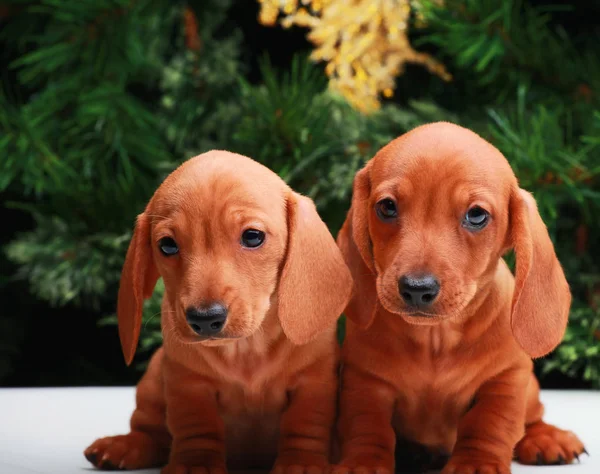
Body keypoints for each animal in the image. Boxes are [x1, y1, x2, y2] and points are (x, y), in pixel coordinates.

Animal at [84, 151, 352, 474]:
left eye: (253, 236)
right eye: (167, 245)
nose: (205, 318)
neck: (246, 350)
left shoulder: (313, 381)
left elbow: (305, 424)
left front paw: (301, 463)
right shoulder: (189, 385)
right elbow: (198, 428)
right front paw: (195, 464)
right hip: (152, 380)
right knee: (150, 433)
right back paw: (124, 445)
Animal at [332, 123, 584, 474]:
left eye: (476, 215)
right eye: (387, 207)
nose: (416, 287)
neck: (435, 340)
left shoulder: (505, 379)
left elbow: (488, 425)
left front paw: (476, 464)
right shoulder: (366, 380)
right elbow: (367, 426)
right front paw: (362, 462)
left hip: (531, 389)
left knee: (532, 417)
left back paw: (547, 437)